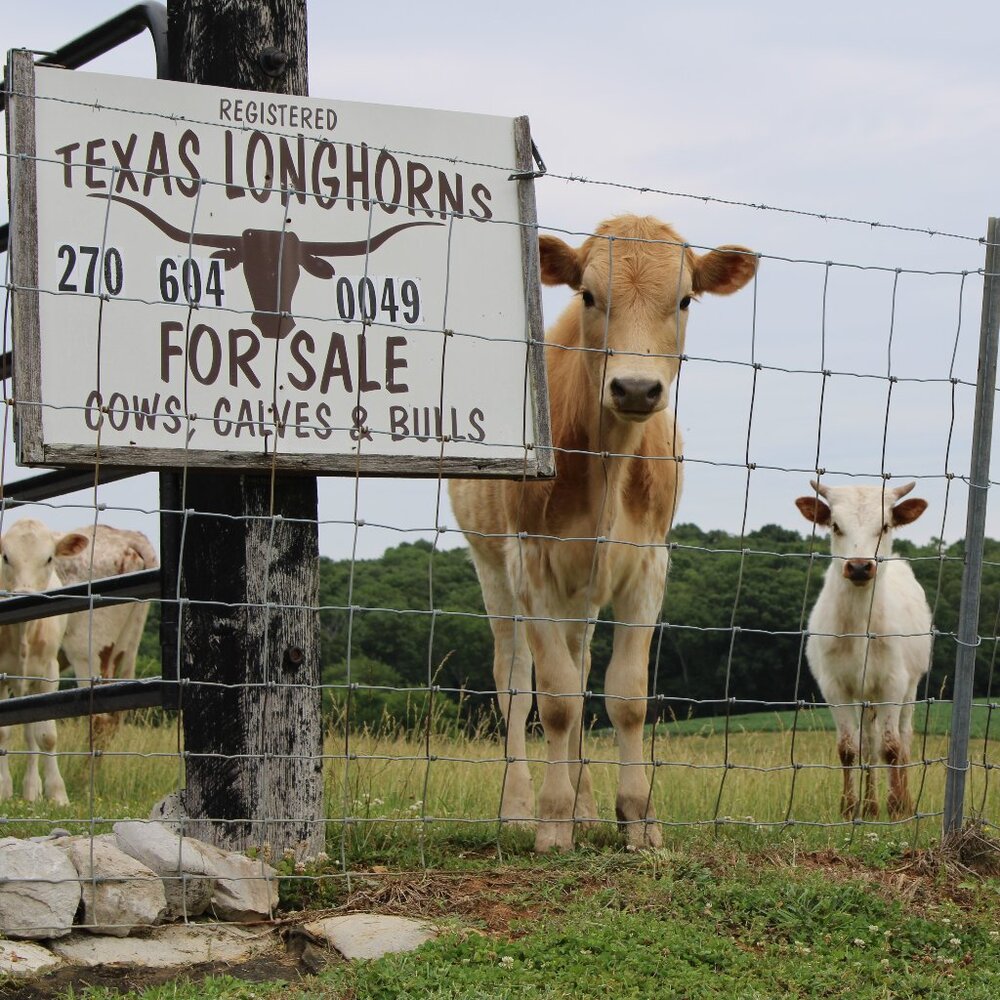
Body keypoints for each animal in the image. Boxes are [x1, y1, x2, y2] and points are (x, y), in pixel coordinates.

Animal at [0, 519, 89, 805]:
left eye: (49, 558)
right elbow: (4, 731)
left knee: (31, 732)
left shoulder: (49, 672)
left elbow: (46, 736)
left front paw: (56, 793)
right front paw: (3, 789)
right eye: (6, 557)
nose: (23, 594)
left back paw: (32, 790)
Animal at [450, 215, 758, 851]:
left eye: (684, 299)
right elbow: (556, 699)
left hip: (583, 594)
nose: (636, 389)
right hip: (491, 567)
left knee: (581, 663)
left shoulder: (647, 565)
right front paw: (550, 822)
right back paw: (519, 807)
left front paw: (637, 818)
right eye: (589, 295)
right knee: (515, 682)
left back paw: (585, 805)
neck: (609, 464)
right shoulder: (531, 564)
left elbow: (625, 696)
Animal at [795, 481, 932, 820]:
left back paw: (904, 801)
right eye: (835, 525)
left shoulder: (893, 682)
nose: (859, 567)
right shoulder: (834, 686)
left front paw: (896, 807)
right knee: (868, 742)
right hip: (864, 695)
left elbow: (892, 748)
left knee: (904, 737)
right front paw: (848, 808)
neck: (859, 628)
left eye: (885, 526)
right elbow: (848, 748)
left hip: (910, 686)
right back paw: (870, 806)